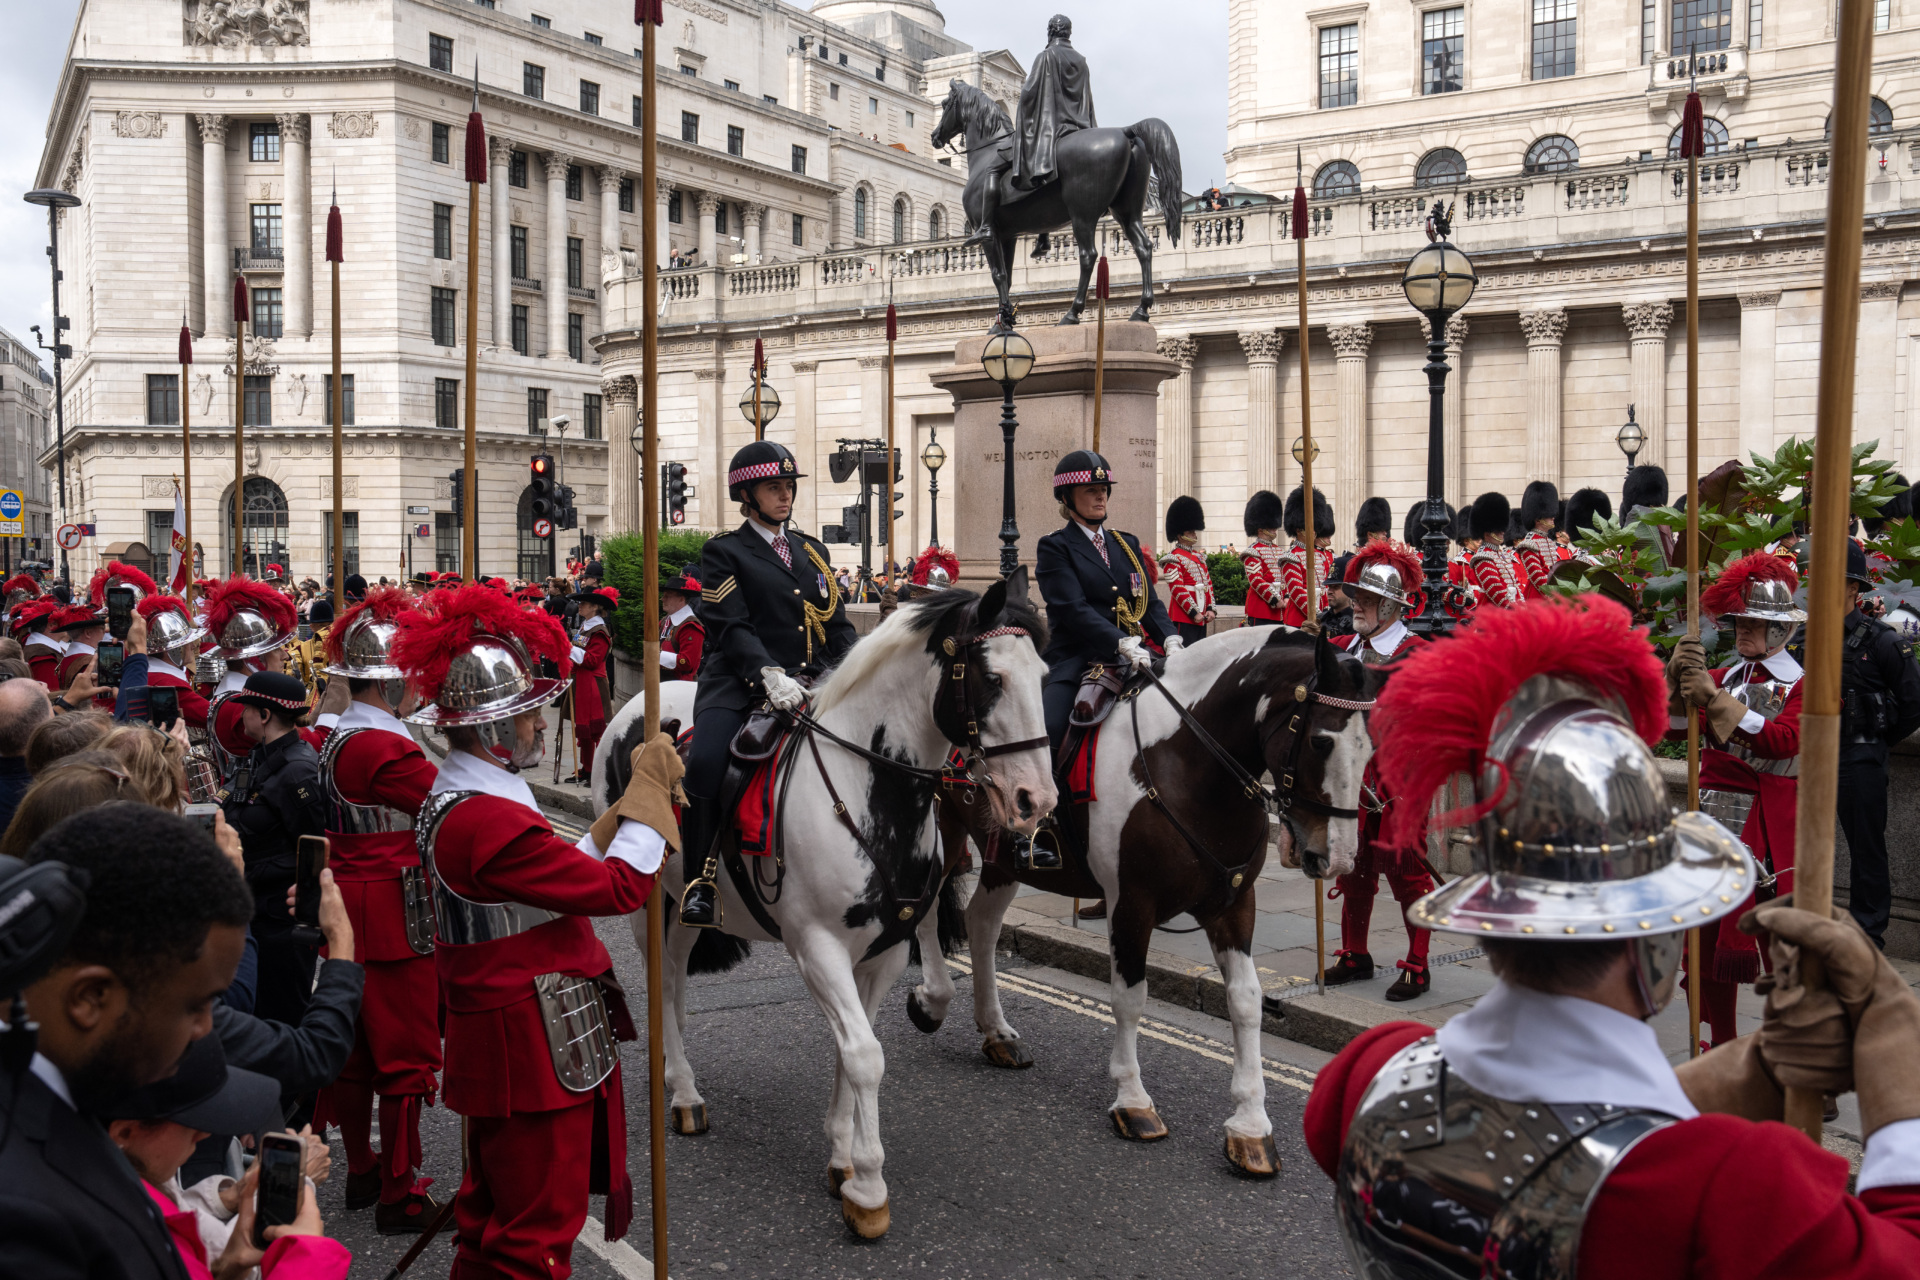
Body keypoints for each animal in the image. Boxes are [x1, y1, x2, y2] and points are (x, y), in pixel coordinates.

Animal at [595, 583, 1059, 1243]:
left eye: (1043, 675)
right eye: (992, 678)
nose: (1035, 800)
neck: (872, 789)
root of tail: (636, 705)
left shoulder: (884, 950)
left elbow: (852, 1047)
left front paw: (843, 1158)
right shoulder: (816, 947)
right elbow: (865, 1055)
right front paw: (868, 1188)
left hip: (689, 904)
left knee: (678, 971)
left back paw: (675, 1073)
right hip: (645, 894)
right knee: (660, 976)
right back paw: (682, 1092)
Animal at [913, 625, 1382, 1174]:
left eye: (1370, 747)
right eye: (1320, 740)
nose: (1336, 858)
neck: (1187, 762)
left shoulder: (1233, 905)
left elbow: (1246, 1002)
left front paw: (1250, 1127)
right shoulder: (1131, 903)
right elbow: (1130, 998)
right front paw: (1133, 1101)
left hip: (1005, 859)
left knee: (981, 925)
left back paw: (997, 1033)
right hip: (939, 832)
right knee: (926, 915)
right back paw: (932, 999)